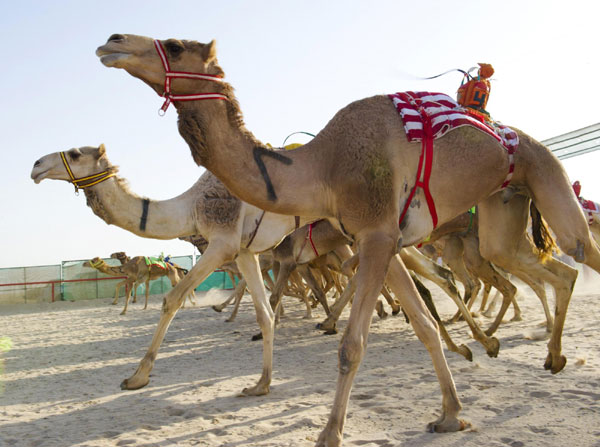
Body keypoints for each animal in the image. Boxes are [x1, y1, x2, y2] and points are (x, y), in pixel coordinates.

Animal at [95, 33, 600, 446]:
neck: (323, 168)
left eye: (175, 45)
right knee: (549, 269)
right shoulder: (381, 240)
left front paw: (330, 432)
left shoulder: (374, 236)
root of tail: (517, 137)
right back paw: (551, 356)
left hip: (545, 173)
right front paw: (451, 414)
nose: (111, 41)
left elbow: (352, 345)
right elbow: (424, 324)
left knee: (576, 254)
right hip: (503, 210)